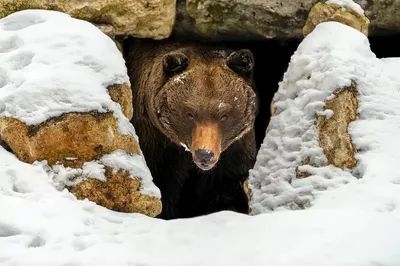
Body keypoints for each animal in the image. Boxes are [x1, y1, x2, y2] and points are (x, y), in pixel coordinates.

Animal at [125, 39, 260, 218]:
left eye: (224, 115)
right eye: (189, 113)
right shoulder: (159, 145)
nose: (205, 154)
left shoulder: (234, 153)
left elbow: (226, 190)